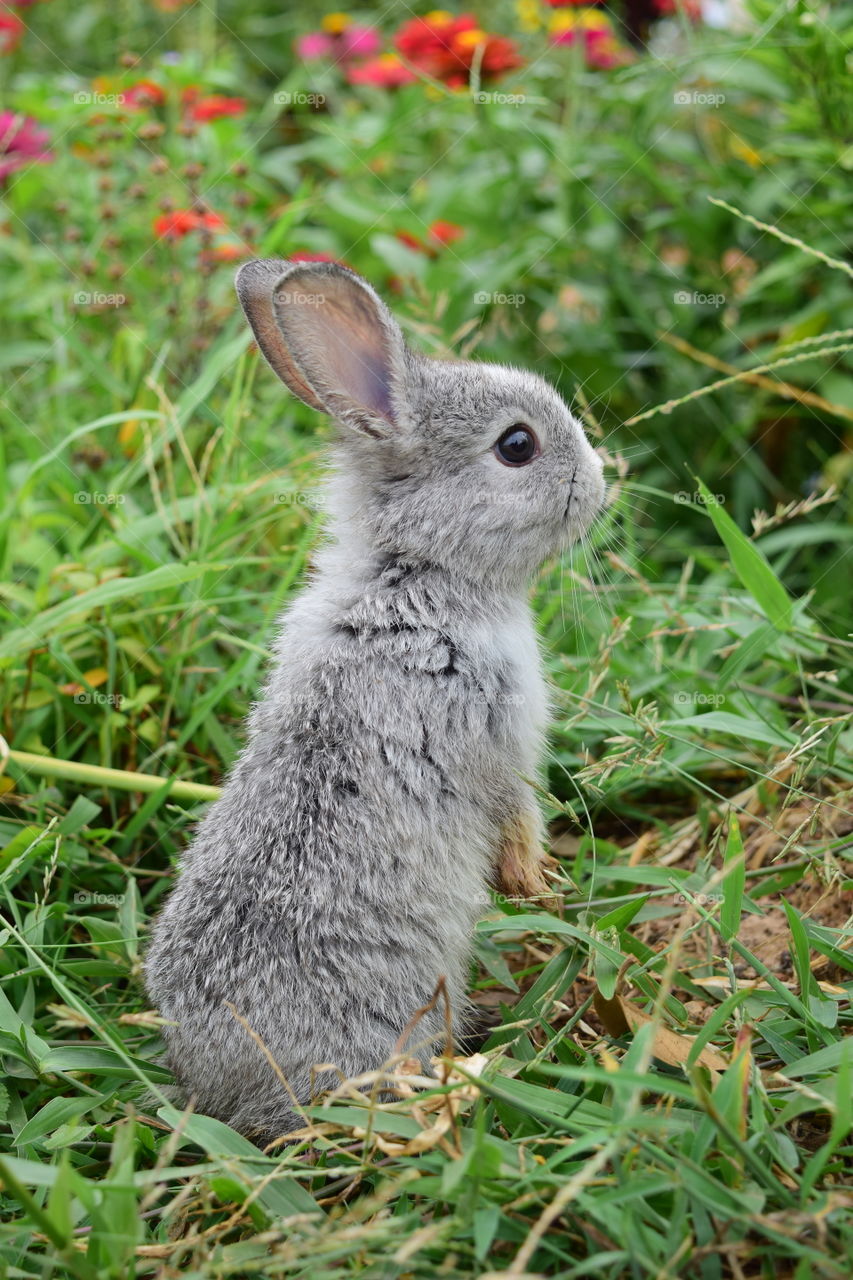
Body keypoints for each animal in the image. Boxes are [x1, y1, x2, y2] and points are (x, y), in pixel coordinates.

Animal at [143, 259, 606, 1145]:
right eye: (517, 446)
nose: (605, 484)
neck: (419, 574)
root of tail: (221, 1090)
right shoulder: (493, 740)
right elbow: (514, 814)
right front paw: (539, 884)